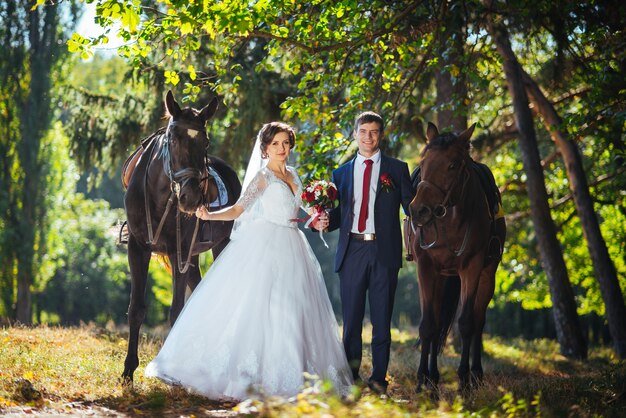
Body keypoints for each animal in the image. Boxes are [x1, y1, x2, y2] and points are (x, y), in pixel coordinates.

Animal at [120, 90, 240, 382]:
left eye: (205, 141)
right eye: (173, 139)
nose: (191, 197)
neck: (160, 195)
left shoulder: (180, 253)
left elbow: (176, 312)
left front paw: (166, 370)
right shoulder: (138, 248)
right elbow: (136, 309)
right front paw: (128, 370)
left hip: (217, 246)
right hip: (194, 257)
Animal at [408, 121, 504, 392]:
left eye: (452, 165)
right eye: (424, 161)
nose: (418, 210)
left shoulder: (471, 268)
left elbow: (467, 323)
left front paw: (464, 380)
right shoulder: (426, 268)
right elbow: (429, 325)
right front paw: (423, 379)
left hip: (487, 275)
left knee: (478, 321)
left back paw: (476, 374)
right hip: (441, 277)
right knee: (439, 318)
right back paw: (433, 376)